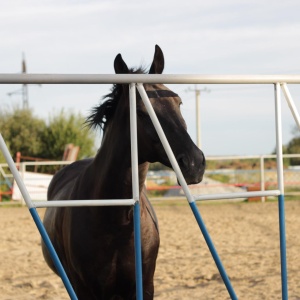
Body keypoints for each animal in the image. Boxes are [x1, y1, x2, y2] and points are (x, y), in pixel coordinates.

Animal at [42, 45, 205, 300]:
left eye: (178, 103)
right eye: (141, 111)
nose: (195, 162)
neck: (115, 222)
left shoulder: (144, 287)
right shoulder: (85, 289)